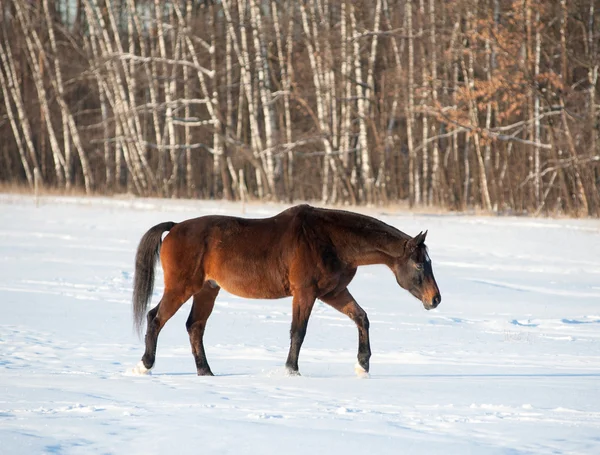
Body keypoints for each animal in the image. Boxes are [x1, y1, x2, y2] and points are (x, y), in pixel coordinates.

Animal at [131, 205, 440, 376]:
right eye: (419, 264)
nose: (435, 299)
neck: (331, 241)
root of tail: (174, 228)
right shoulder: (305, 293)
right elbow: (298, 332)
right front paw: (292, 370)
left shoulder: (333, 293)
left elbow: (361, 318)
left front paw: (362, 365)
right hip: (181, 287)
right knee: (155, 318)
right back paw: (145, 365)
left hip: (207, 289)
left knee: (194, 326)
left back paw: (205, 371)